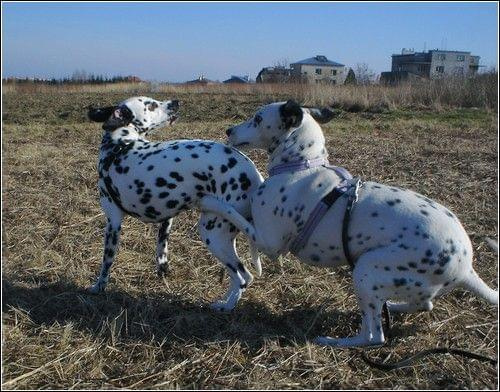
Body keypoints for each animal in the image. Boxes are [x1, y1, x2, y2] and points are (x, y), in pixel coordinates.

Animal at [88, 96, 266, 310]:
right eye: (151, 105)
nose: (176, 101)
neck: (120, 145)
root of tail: (255, 176)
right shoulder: (167, 219)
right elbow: (161, 250)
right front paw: (163, 270)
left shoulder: (113, 223)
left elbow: (107, 262)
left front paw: (99, 286)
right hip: (224, 235)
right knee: (239, 277)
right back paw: (224, 301)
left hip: (213, 235)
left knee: (243, 277)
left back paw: (226, 306)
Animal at [201, 100, 498, 346]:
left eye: (258, 118)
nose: (228, 130)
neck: (302, 165)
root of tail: (467, 267)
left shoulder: (268, 242)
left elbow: (233, 213)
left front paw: (211, 202)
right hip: (396, 282)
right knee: (423, 305)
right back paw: (394, 305)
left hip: (366, 270)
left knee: (374, 336)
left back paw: (336, 341)